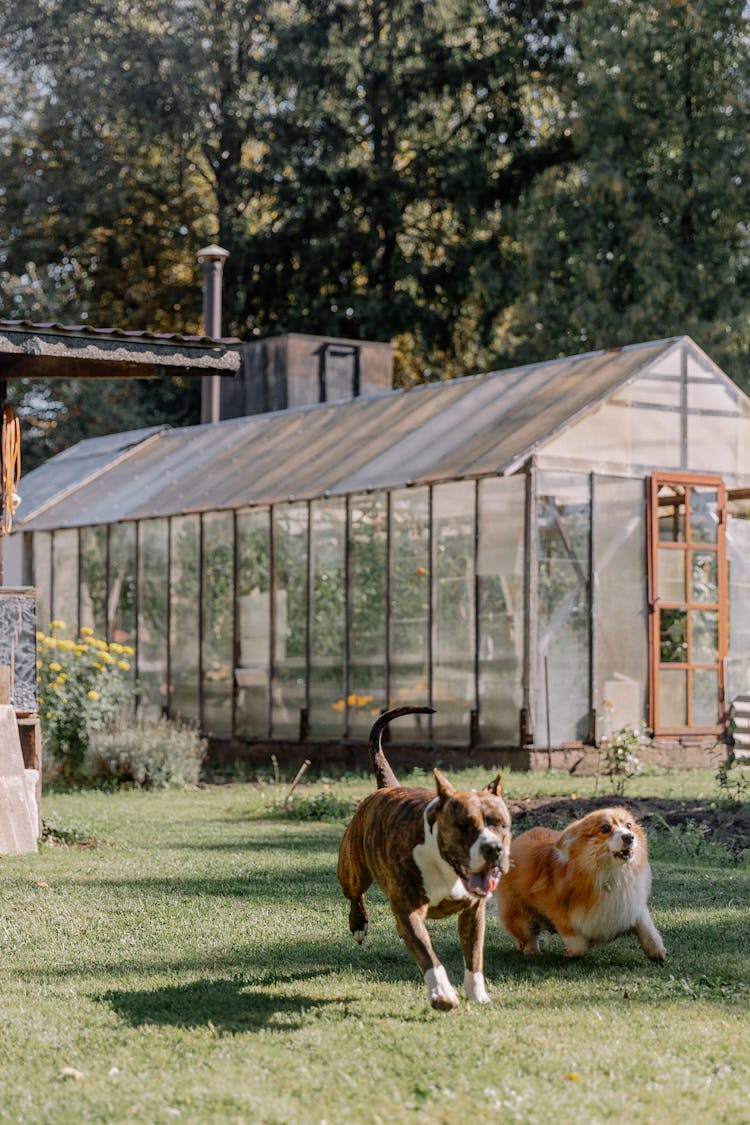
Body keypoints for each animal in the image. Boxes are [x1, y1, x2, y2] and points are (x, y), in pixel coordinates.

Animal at [494, 805, 665, 963]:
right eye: (605, 828)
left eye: (629, 825)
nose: (629, 837)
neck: (611, 873)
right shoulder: (563, 916)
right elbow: (578, 947)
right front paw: (568, 954)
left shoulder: (632, 905)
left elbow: (648, 929)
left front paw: (657, 952)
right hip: (518, 914)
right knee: (527, 936)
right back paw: (533, 951)